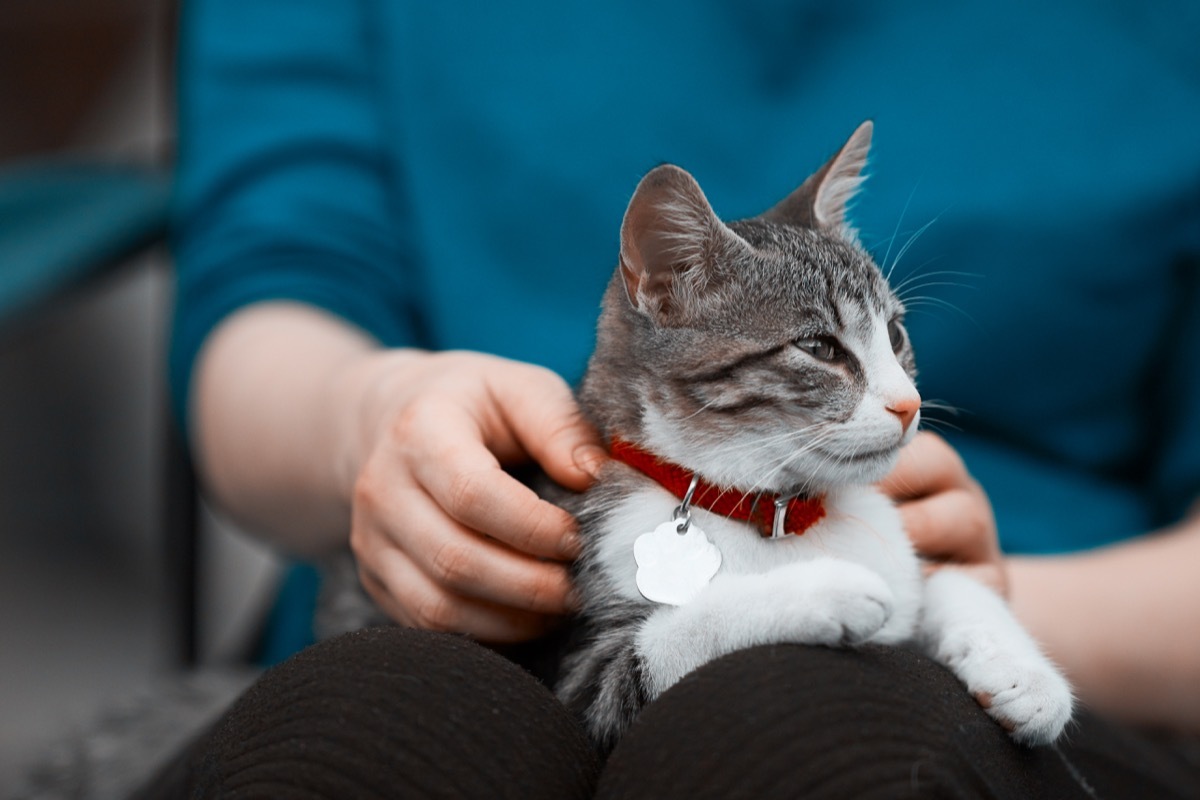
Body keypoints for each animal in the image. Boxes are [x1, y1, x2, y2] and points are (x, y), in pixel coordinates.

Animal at [549, 118, 1075, 753]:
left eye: (895, 334)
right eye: (820, 348)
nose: (909, 405)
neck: (783, 510)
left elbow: (947, 583)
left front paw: (1026, 676)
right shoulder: (581, 675)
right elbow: (670, 637)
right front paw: (822, 589)